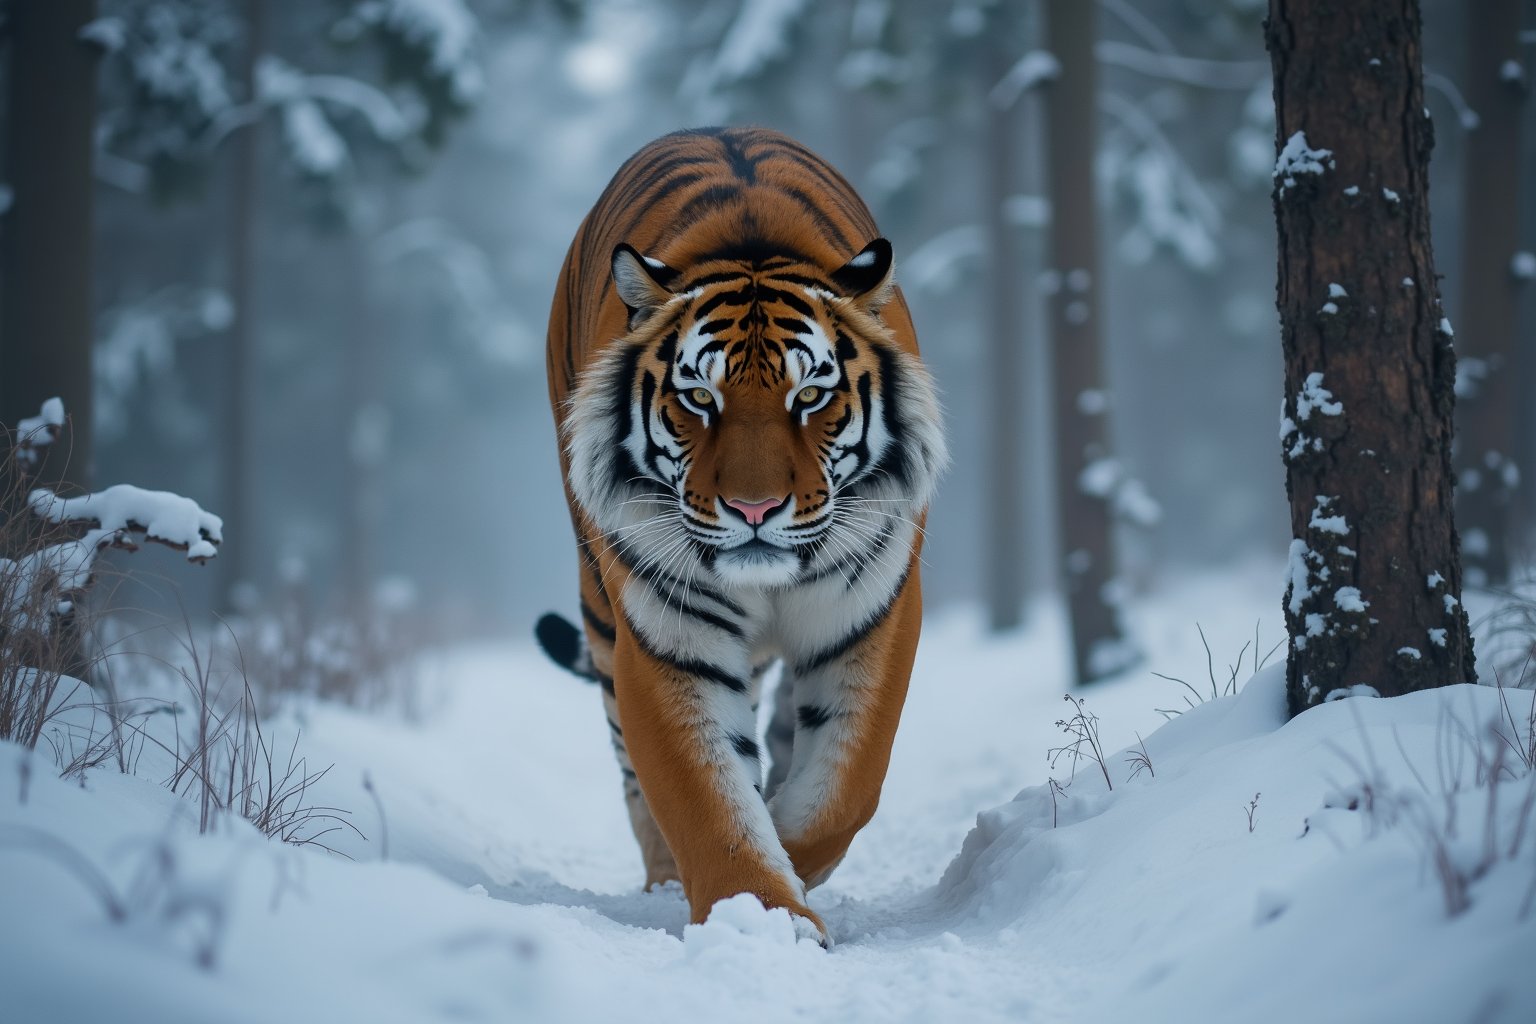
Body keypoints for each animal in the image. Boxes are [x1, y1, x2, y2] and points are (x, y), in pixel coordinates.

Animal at [540, 124, 946, 951]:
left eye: (811, 395)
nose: (754, 509)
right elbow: (702, 794)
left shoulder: (873, 611)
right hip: (600, 609)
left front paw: (790, 850)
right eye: (699, 397)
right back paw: (667, 883)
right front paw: (765, 917)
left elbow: (844, 784)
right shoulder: (666, 632)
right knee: (632, 771)